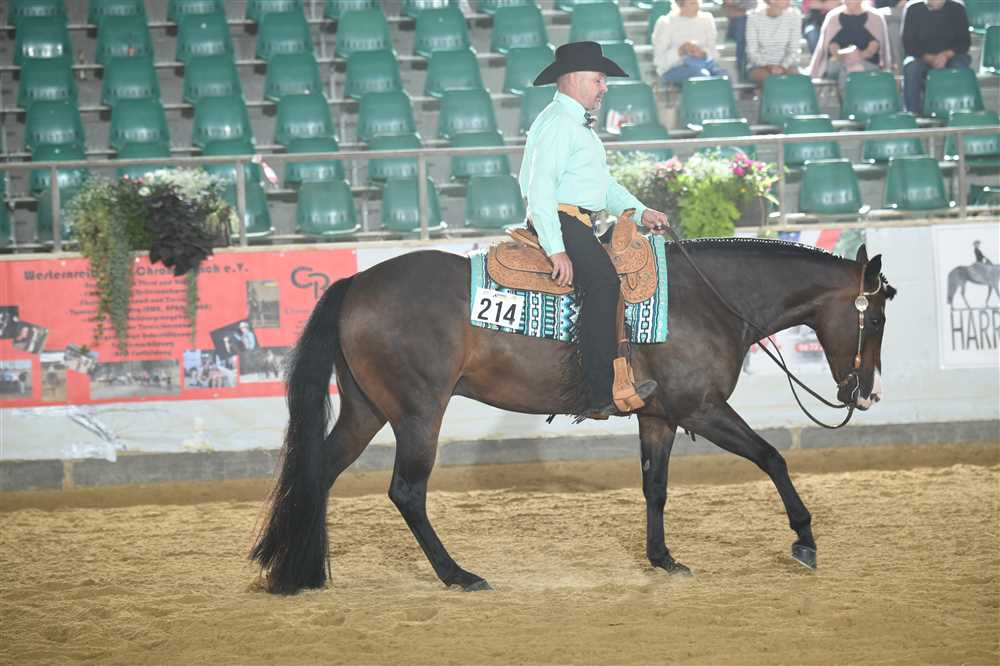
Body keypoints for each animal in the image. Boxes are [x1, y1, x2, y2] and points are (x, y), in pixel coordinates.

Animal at [250, 237, 896, 594]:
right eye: (877, 318)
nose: (866, 395)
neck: (705, 299)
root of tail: (357, 283)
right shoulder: (704, 408)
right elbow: (772, 457)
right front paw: (804, 540)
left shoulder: (659, 417)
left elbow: (655, 487)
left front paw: (663, 559)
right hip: (417, 412)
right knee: (407, 492)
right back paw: (459, 576)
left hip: (365, 410)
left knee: (319, 471)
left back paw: (299, 570)